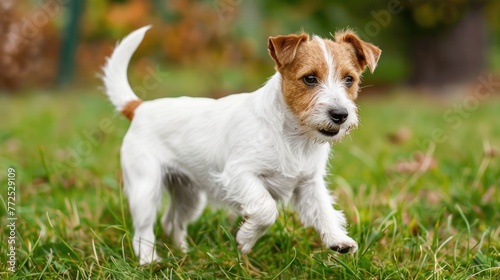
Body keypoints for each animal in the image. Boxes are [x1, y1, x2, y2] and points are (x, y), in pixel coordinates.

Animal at [101, 25, 382, 264]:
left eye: (349, 80)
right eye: (310, 79)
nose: (340, 115)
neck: (293, 137)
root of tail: (139, 108)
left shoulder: (308, 184)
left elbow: (323, 210)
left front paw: (338, 240)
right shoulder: (239, 174)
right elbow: (267, 210)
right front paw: (245, 240)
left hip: (189, 194)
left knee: (172, 221)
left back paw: (184, 253)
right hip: (145, 188)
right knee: (143, 230)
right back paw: (150, 261)